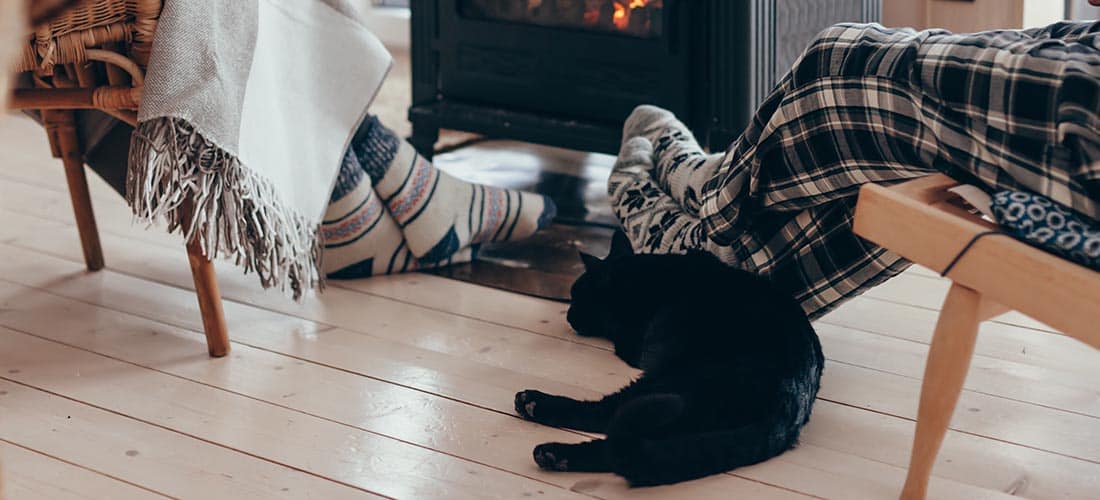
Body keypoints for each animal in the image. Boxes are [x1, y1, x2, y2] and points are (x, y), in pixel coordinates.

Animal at [514, 232, 827, 487]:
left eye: (576, 296)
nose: (568, 315)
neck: (646, 275)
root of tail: (788, 410)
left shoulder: (633, 345)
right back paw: (555, 454)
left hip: (664, 383)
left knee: (605, 416)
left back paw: (539, 416)